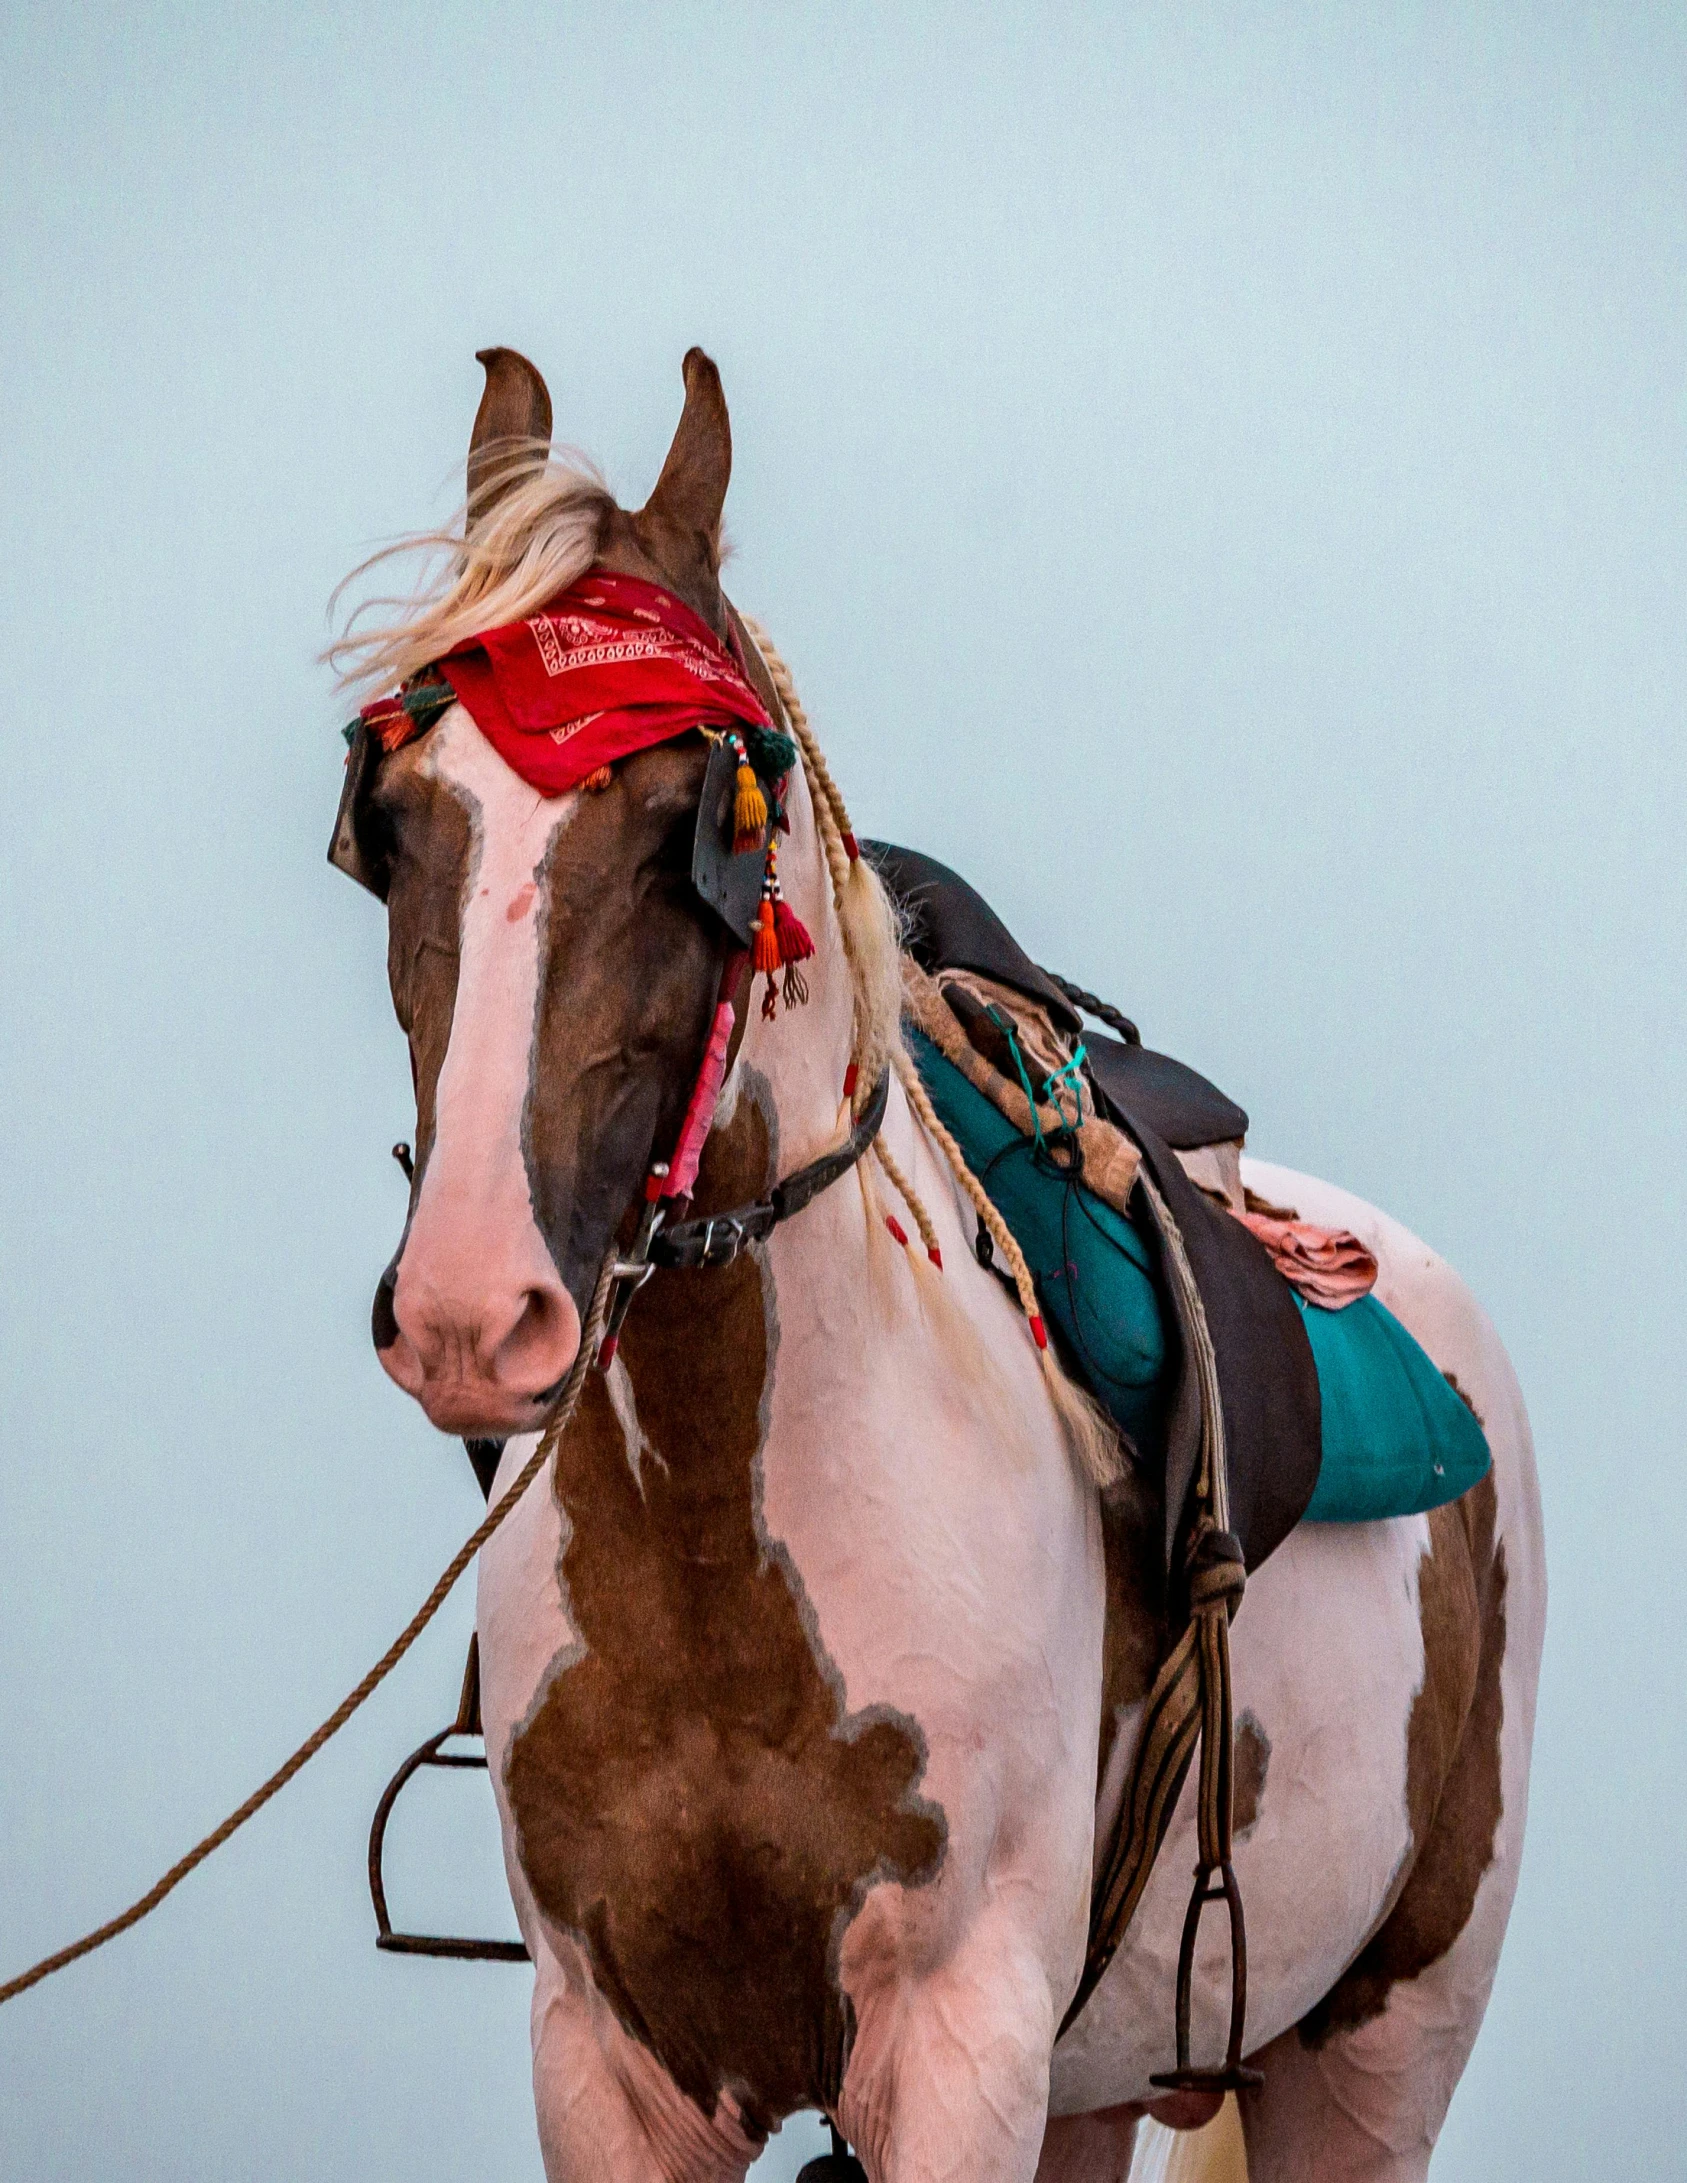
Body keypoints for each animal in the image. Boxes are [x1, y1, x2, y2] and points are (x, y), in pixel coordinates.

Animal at [325, 349, 1536, 2174]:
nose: (472, 1308)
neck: (720, 1563)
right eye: (389, 826)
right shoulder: (609, 2068)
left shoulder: (956, 2051)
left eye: (692, 825)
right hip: (1093, 2080)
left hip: (1375, 2052)